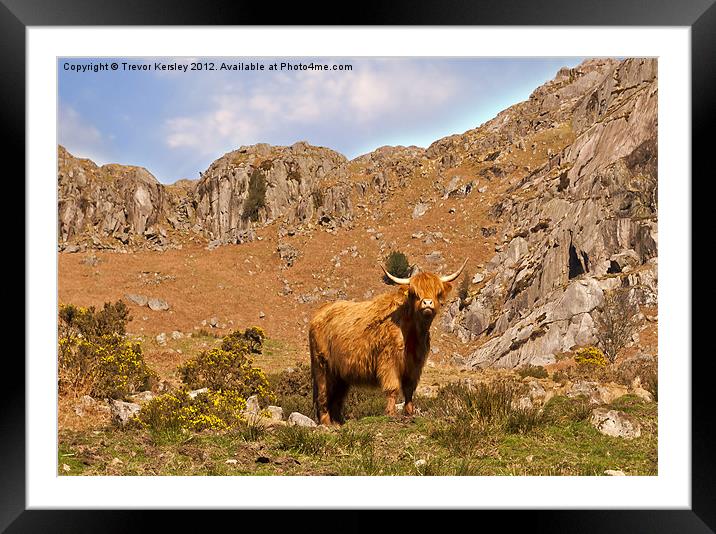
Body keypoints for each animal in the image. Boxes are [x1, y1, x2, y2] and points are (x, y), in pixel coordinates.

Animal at [306, 260, 464, 428]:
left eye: (437, 292)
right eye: (414, 293)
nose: (427, 303)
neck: (412, 333)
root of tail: (319, 313)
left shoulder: (415, 365)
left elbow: (409, 389)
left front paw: (409, 413)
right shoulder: (389, 362)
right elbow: (393, 388)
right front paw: (391, 413)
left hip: (340, 373)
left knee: (337, 398)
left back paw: (339, 422)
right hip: (321, 365)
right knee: (323, 395)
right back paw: (327, 423)